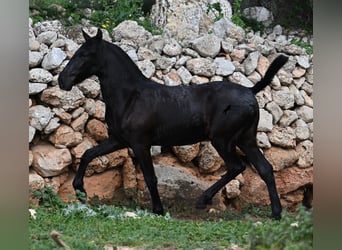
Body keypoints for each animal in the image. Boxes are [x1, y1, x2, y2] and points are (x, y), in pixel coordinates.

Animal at [59, 29, 288, 220]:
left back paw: (203, 200)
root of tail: (250, 90)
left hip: (222, 140)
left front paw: (158, 210)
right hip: (245, 139)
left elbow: (150, 177)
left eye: (85, 55)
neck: (131, 97)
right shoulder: (118, 140)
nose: (62, 80)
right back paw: (276, 213)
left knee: (237, 166)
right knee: (265, 169)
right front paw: (79, 189)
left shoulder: (140, 143)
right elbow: (88, 154)